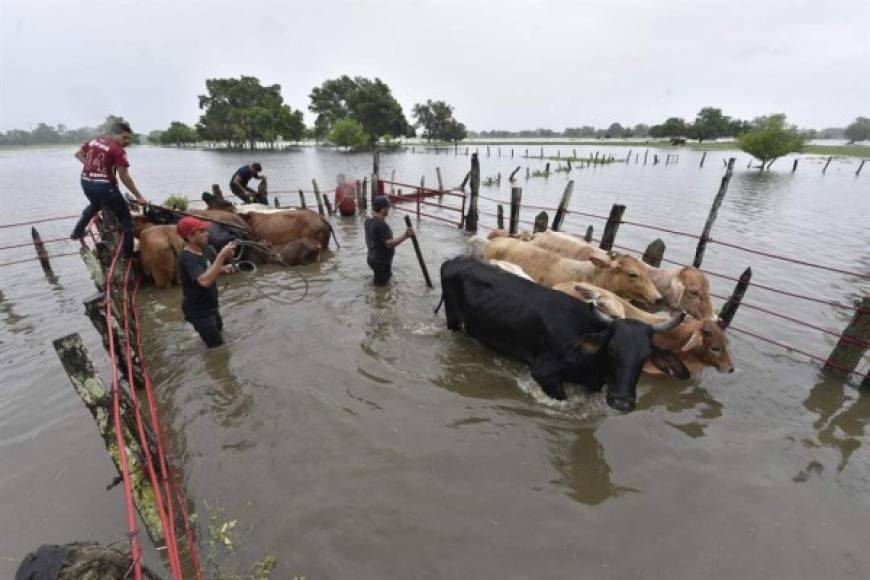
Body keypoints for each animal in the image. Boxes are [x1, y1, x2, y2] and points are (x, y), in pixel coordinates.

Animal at [440, 258, 692, 412]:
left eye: (645, 356)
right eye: (611, 349)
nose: (622, 402)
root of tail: (455, 260)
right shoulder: (543, 373)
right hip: (452, 319)